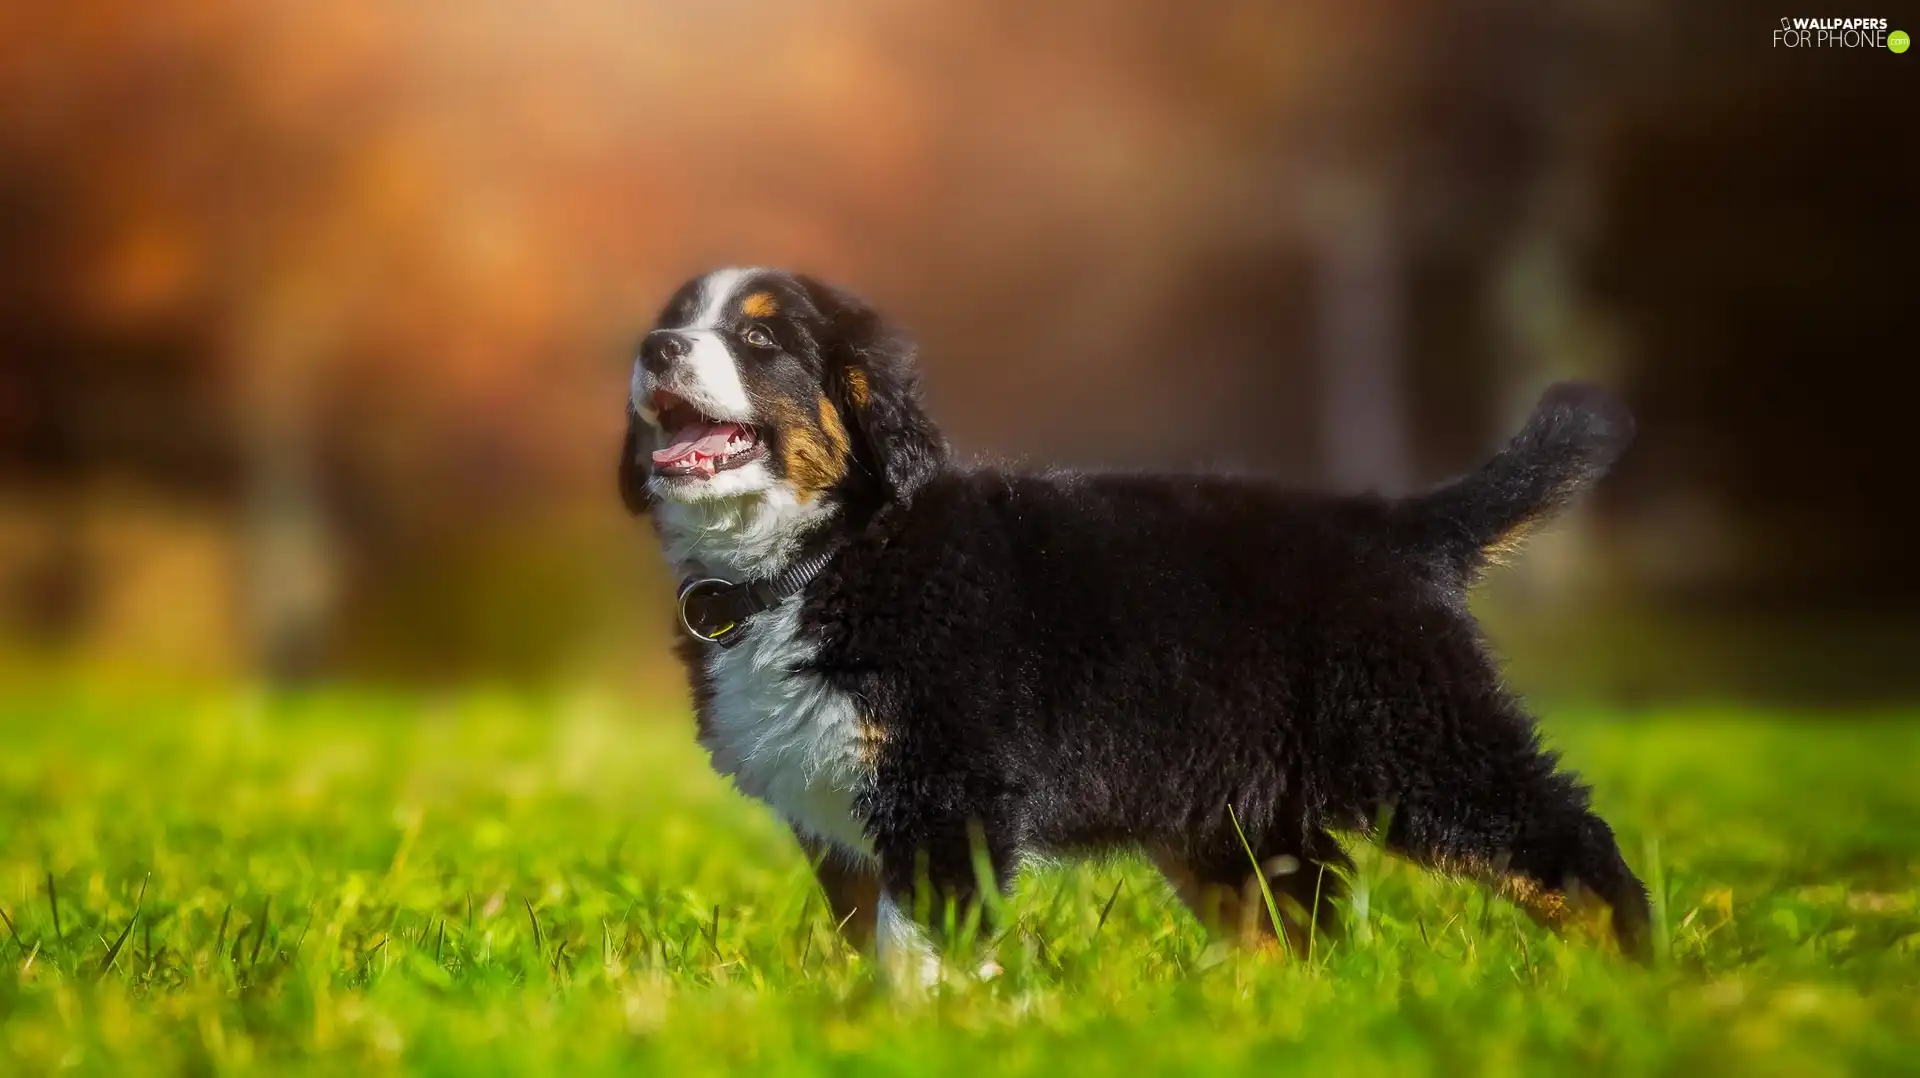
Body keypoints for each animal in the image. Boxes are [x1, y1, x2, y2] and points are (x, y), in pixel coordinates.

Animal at [618, 267, 1651, 976]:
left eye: (760, 339)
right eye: (681, 316)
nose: (655, 346)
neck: (824, 556)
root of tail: (1400, 527)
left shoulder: (944, 797)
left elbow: (919, 949)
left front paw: (926, 1031)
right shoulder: (840, 819)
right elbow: (866, 942)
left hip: (1421, 744)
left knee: (1575, 855)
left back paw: (1633, 985)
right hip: (1232, 807)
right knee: (1303, 912)